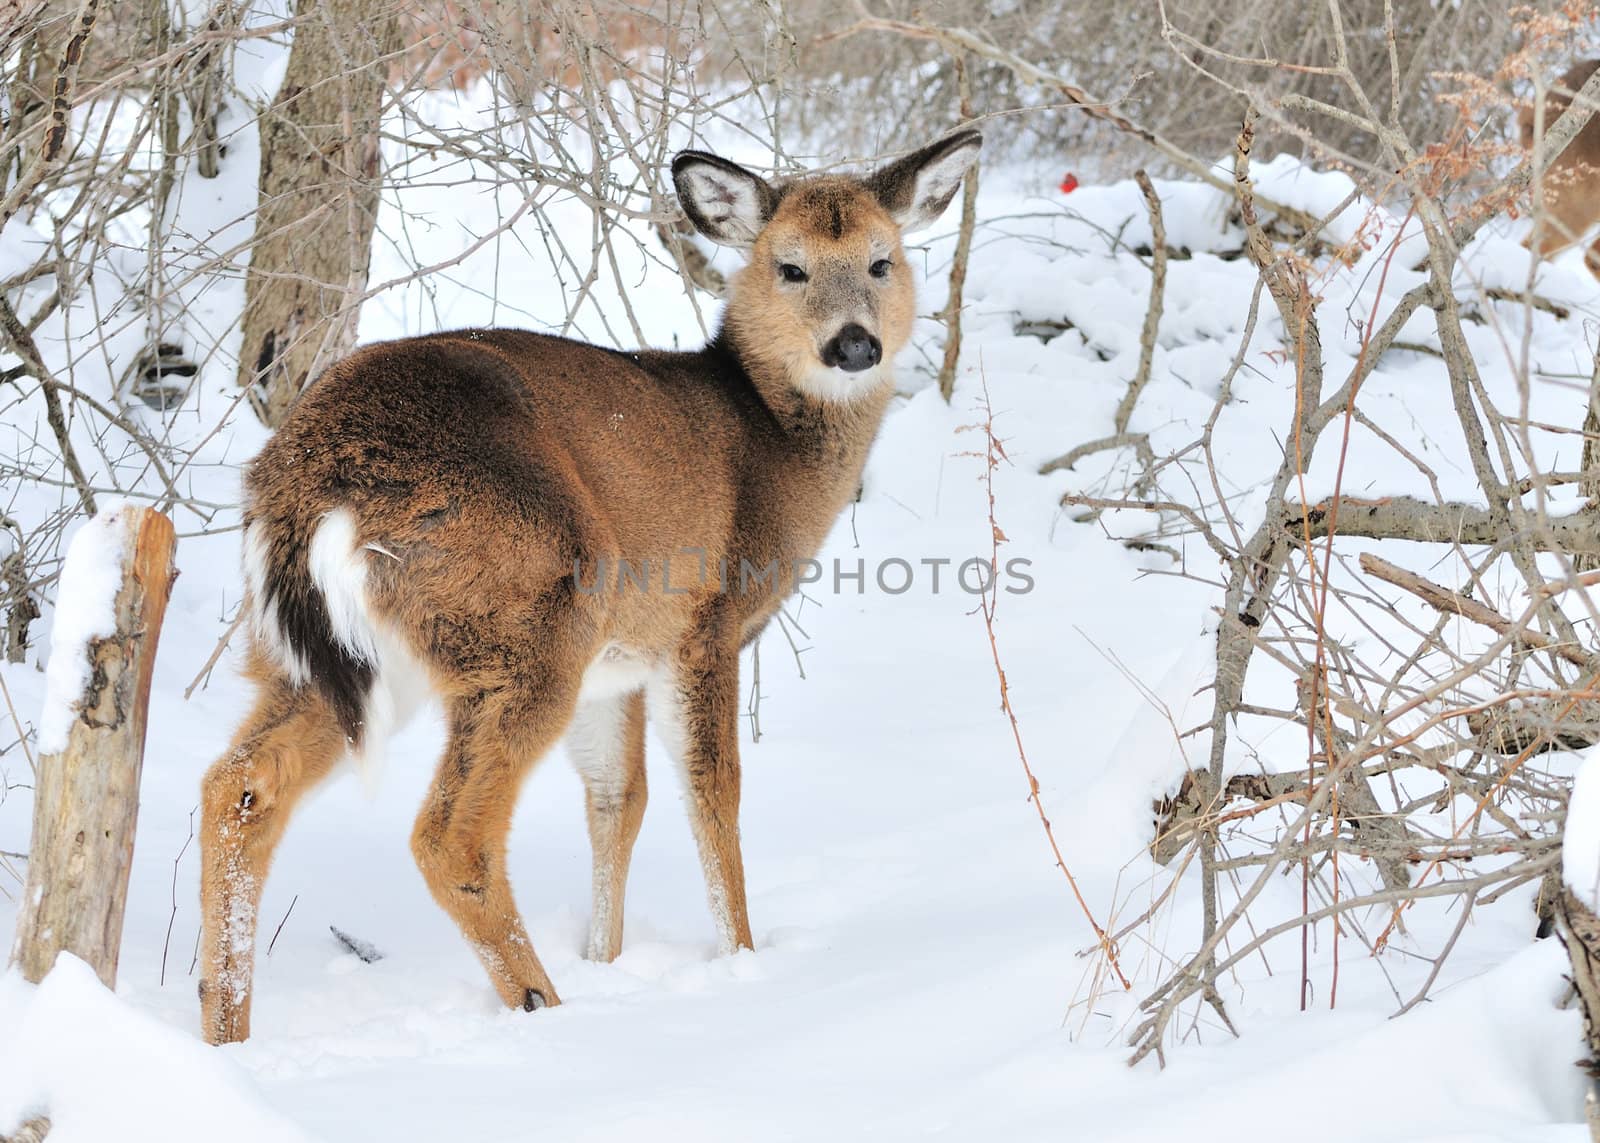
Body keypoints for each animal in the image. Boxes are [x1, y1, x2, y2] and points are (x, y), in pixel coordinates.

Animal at [193, 128, 979, 1037]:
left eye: (883, 261)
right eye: (790, 266)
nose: (854, 344)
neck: (770, 446)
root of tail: (309, 480)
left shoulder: (621, 662)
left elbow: (617, 798)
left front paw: (608, 956)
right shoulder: (703, 621)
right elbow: (714, 792)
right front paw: (742, 961)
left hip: (313, 655)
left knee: (239, 788)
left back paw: (225, 1028)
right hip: (532, 618)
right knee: (448, 834)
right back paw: (541, 1004)